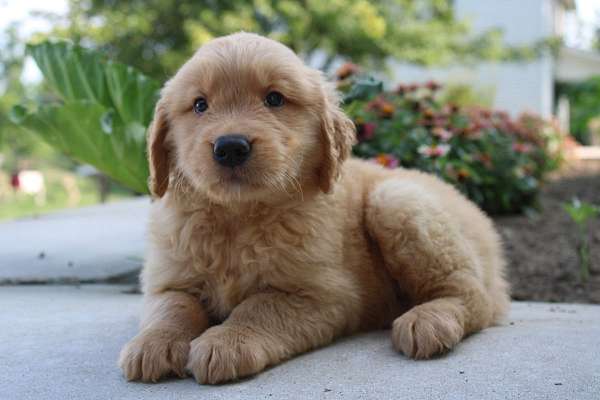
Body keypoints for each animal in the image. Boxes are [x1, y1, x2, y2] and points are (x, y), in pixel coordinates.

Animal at [119, 32, 508, 384]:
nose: (230, 147)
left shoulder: (322, 294)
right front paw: (152, 344)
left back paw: (428, 319)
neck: (237, 217)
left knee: (475, 297)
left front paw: (228, 342)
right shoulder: (169, 277)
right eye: (200, 105)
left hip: (396, 201)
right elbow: (172, 308)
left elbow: (258, 308)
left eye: (274, 99)